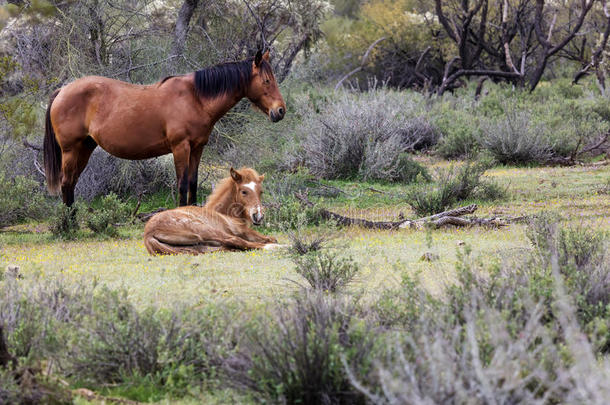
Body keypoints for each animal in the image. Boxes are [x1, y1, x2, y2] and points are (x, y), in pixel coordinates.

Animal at [42, 51, 284, 207]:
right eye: (266, 81)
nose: (280, 111)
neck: (195, 98)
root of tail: (63, 90)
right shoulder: (180, 148)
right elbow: (182, 184)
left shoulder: (197, 148)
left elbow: (193, 183)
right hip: (71, 150)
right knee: (66, 183)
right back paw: (69, 226)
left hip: (85, 148)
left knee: (71, 184)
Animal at [142, 166, 278, 254]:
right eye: (244, 191)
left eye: (261, 192)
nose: (258, 216)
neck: (223, 213)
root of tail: (149, 234)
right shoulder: (243, 231)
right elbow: (269, 238)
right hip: (204, 230)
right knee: (235, 241)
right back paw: (276, 247)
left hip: (200, 246)